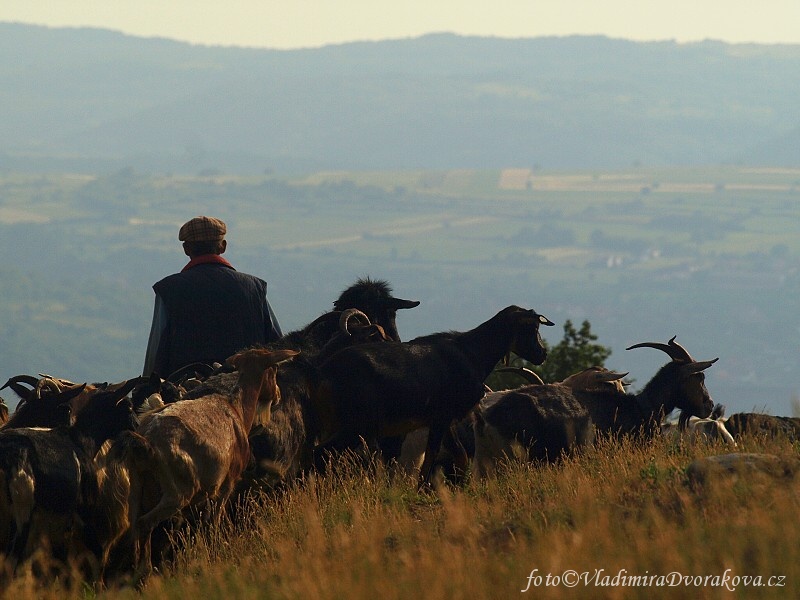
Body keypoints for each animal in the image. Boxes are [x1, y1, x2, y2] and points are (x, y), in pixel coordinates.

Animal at [310, 304, 552, 488]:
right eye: (531, 327)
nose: (542, 354)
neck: (471, 353)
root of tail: (323, 372)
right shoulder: (442, 417)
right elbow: (433, 454)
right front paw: (423, 488)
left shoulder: (444, 420)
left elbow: (456, 455)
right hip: (355, 425)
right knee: (320, 454)